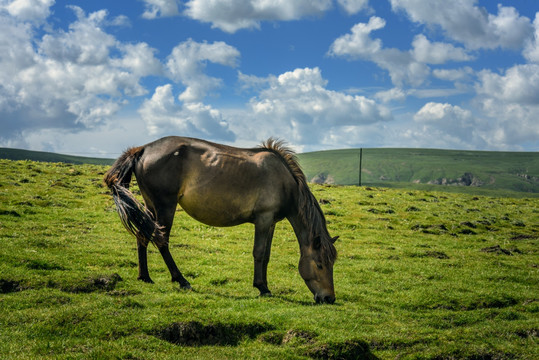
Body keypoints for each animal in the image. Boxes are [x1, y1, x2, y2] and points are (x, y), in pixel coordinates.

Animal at [104, 136, 338, 302]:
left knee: (142, 237)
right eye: (319, 265)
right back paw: (181, 280)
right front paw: (261, 287)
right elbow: (259, 253)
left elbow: (267, 255)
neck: (283, 181)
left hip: (151, 208)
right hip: (165, 207)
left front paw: (265, 285)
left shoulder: (271, 222)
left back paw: (145, 277)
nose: (328, 298)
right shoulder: (263, 219)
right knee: (161, 241)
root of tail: (142, 149)